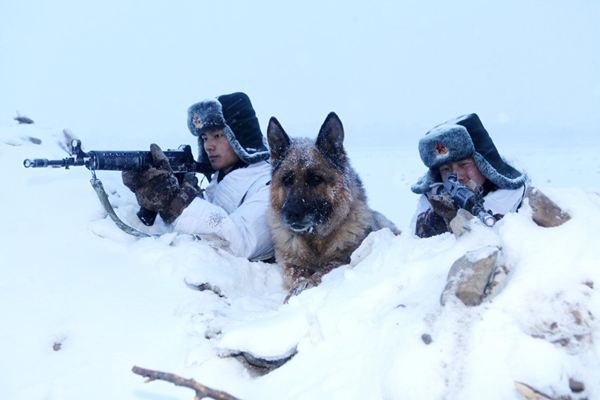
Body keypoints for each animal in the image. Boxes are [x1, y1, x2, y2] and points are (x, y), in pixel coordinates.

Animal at [266, 111, 398, 298]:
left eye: (315, 179)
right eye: (287, 180)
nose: (291, 214)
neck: (313, 239)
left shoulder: (346, 258)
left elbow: (327, 268)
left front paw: (308, 284)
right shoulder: (289, 262)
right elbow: (296, 272)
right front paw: (299, 285)